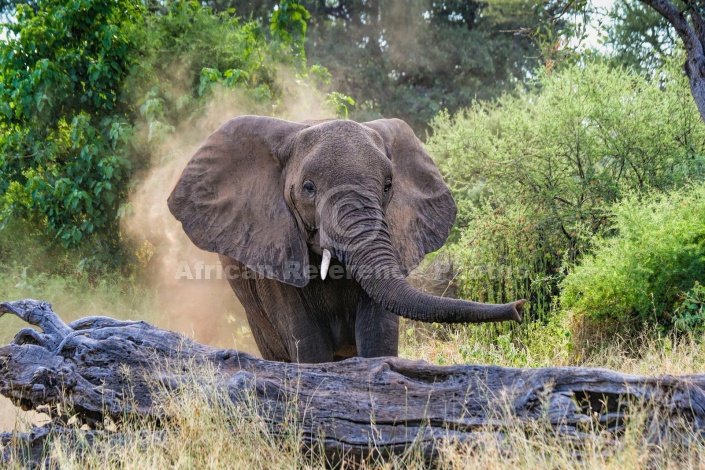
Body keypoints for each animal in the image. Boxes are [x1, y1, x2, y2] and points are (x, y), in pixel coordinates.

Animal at [169, 114, 524, 364]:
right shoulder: (273, 248)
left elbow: (378, 332)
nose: (519, 307)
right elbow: (308, 343)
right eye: (308, 188)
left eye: (388, 186)